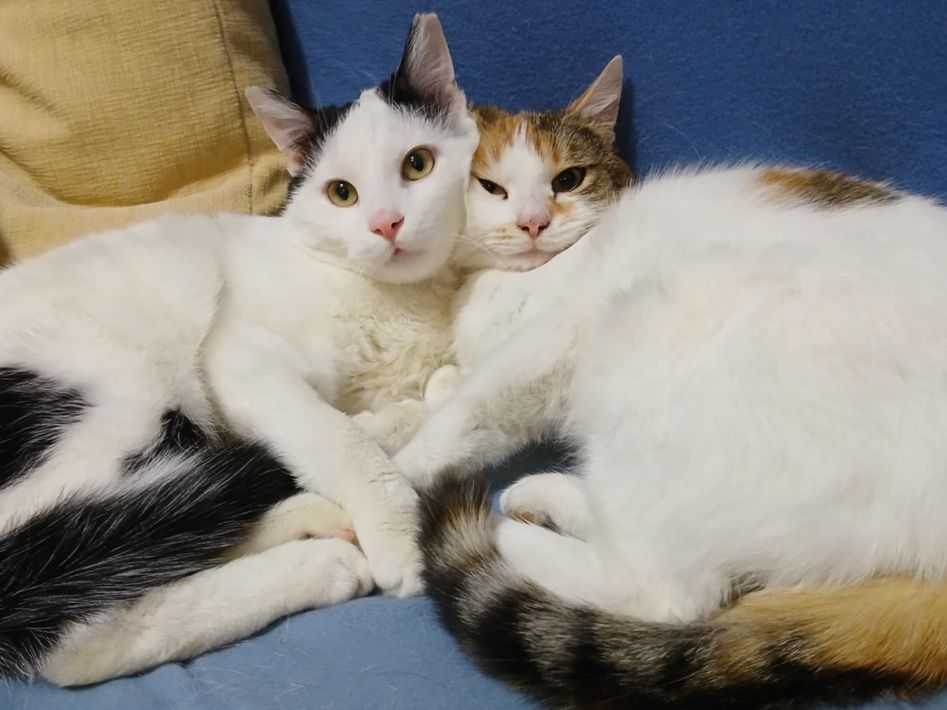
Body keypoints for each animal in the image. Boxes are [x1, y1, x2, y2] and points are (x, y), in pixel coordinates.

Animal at [0, 13, 480, 684]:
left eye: (418, 164)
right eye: (342, 193)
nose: (386, 223)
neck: (394, 301)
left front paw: (416, 408)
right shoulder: (238, 355)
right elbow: (337, 438)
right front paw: (399, 533)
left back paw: (316, 512)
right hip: (120, 386)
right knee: (82, 631)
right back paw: (321, 564)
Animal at [399, 165, 947, 707]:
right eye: (492, 188)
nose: (531, 223)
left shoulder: (553, 337)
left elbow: (475, 407)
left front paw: (399, 468)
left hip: (650, 328)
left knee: (660, 591)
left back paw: (505, 532)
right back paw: (546, 499)